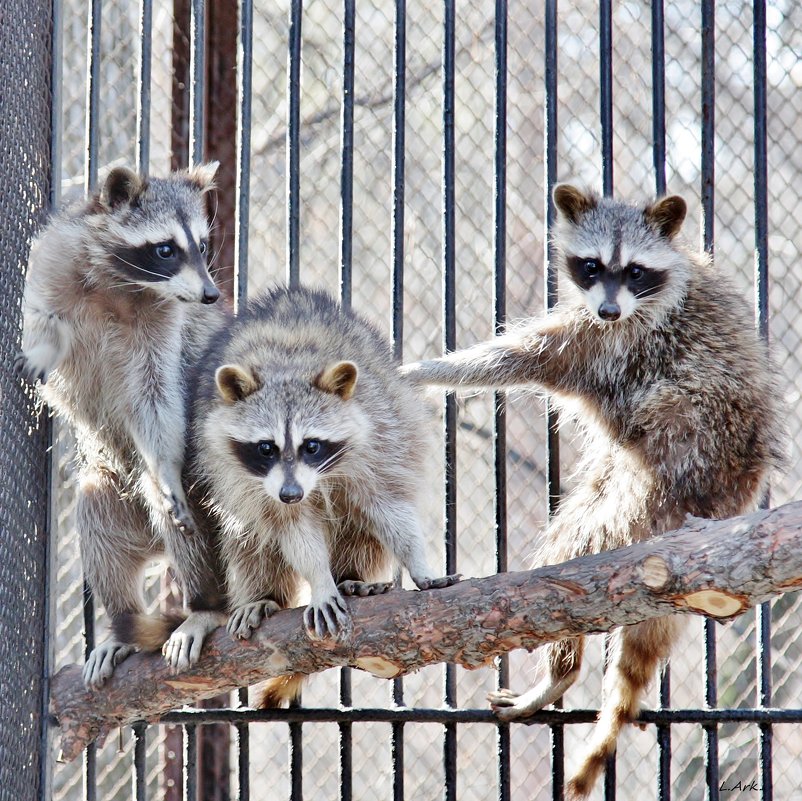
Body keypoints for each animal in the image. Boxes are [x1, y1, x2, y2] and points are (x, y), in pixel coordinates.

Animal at [16, 164, 228, 688]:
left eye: (203, 244)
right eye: (166, 248)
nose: (211, 294)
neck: (123, 282)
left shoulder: (166, 326)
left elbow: (156, 399)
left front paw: (165, 467)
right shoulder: (54, 258)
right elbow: (40, 321)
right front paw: (41, 350)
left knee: (181, 513)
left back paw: (206, 604)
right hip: (113, 488)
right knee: (96, 515)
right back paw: (121, 624)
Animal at [400, 184, 780, 796]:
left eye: (635, 271)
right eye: (593, 266)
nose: (608, 308)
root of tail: (726, 498)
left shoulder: (619, 341)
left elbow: (522, 356)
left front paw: (430, 369)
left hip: (659, 478)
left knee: (569, 553)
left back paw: (562, 668)